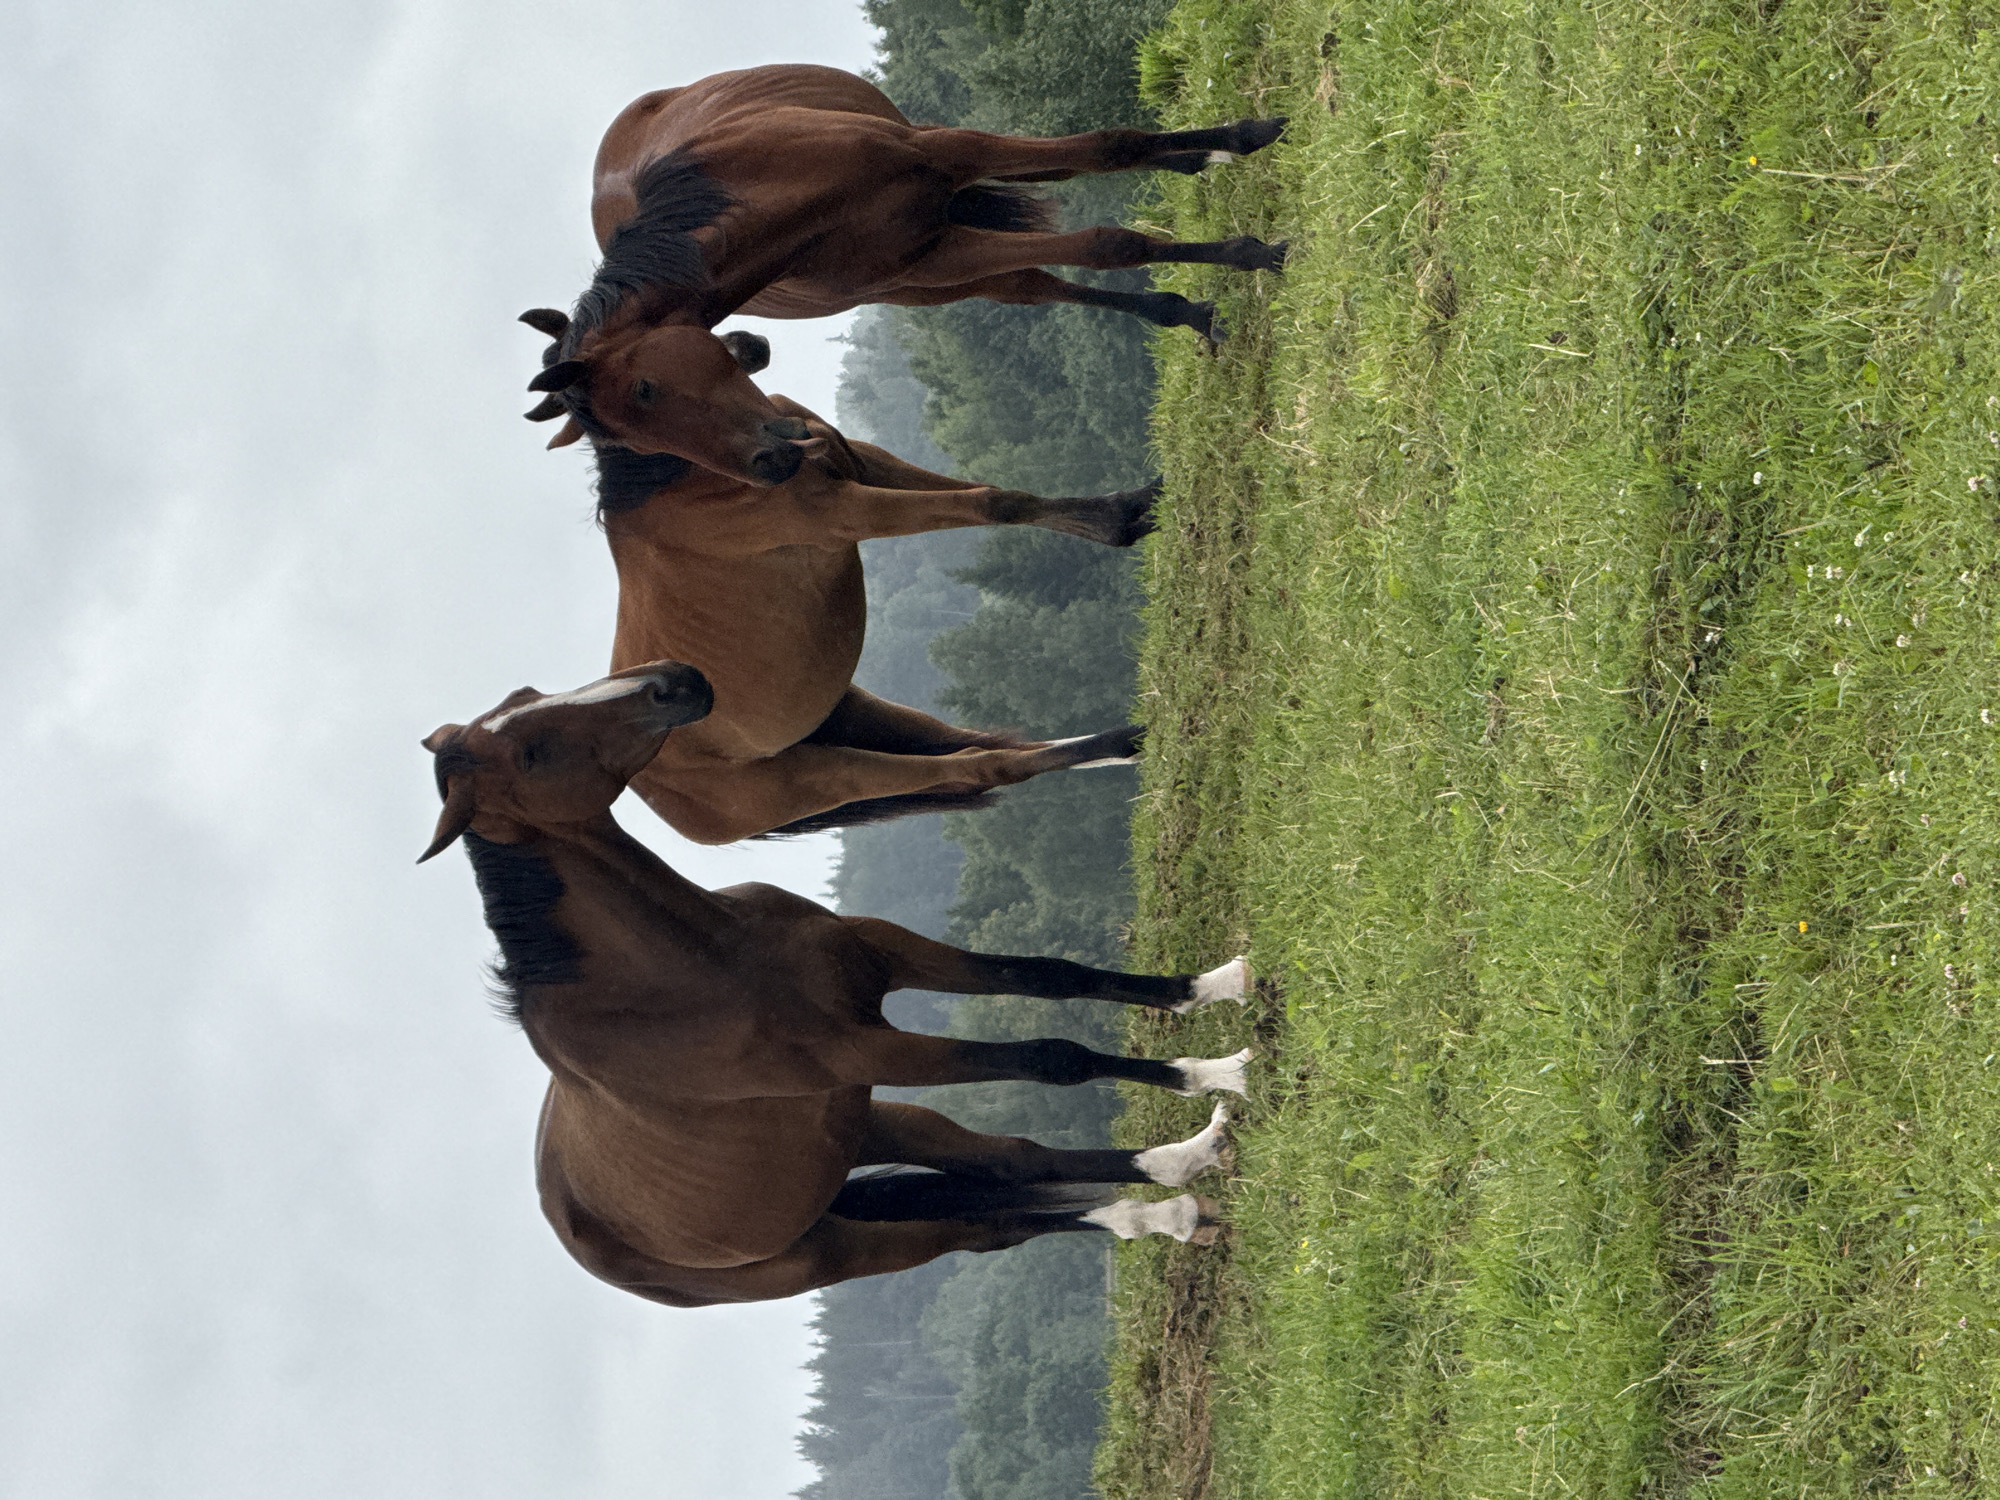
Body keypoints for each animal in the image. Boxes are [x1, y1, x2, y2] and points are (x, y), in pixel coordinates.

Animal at [418, 660, 1257, 1305]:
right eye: (530, 755)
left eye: (529, 695)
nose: (675, 680)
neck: (702, 967)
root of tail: (580, 1236)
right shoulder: (872, 1052)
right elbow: (1054, 1057)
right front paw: (1219, 1075)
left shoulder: (887, 958)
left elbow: (1052, 978)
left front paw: (1211, 996)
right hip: (841, 1244)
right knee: (984, 1223)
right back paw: (1179, 1187)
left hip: (863, 1124)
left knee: (1012, 1168)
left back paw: (1172, 1191)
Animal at [518, 63, 1287, 477]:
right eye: (627, 439)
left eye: (644, 391)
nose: (768, 467)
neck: (776, 191)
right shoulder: (934, 253)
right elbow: (1101, 245)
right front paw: (1222, 277)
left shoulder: (951, 154)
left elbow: (1109, 160)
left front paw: (1250, 168)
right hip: (925, 282)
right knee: (1033, 286)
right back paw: (1182, 307)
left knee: (1069, 170)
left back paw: (1209, 157)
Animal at [551, 353, 1156, 842]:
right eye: (643, 392)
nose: (773, 451)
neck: (682, 482)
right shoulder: (851, 510)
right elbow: (993, 502)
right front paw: (1124, 513)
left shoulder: (862, 462)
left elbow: (1002, 494)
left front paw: (1131, 509)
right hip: (826, 775)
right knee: (981, 764)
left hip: (865, 718)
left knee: (982, 746)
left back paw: (1128, 740)